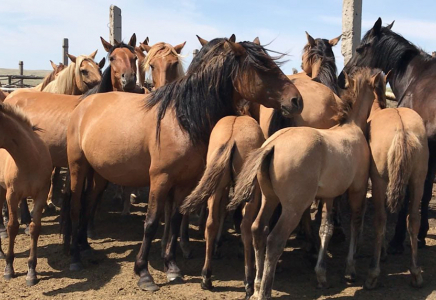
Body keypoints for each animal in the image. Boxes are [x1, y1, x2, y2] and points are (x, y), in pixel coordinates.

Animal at [0, 102, 52, 286]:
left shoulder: (41, 194)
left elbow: (35, 228)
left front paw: (31, 271)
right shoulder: (12, 195)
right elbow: (12, 226)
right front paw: (9, 268)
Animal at [63, 34, 304, 290]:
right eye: (262, 67)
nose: (296, 100)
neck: (183, 119)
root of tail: (85, 103)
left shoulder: (184, 182)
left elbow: (176, 219)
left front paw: (172, 266)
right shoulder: (160, 180)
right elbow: (151, 222)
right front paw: (144, 272)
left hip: (98, 173)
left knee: (89, 202)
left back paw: (85, 247)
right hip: (78, 167)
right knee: (76, 206)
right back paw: (75, 257)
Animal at [230, 68, 384, 300]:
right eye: (380, 88)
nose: (385, 104)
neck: (351, 126)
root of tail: (273, 145)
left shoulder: (329, 196)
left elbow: (326, 229)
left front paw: (321, 275)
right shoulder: (356, 190)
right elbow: (355, 224)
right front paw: (350, 270)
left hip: (269, 199)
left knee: (258, 230)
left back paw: (256, 286)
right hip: (292, 208)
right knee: (274, 240)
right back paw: (264, 290)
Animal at [340, 17, 436, 251]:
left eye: (360, 48)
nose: (341, 78)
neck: (417, 78)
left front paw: (398, 239)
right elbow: (425, 191)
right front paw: (421, 235)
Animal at [362, 69, 428, 288]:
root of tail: (402, 130)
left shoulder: (375, 181)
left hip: (380, 181)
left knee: (380, 219)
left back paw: (373, 273)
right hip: (418, 180)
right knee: (413, 219)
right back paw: (416, 272)